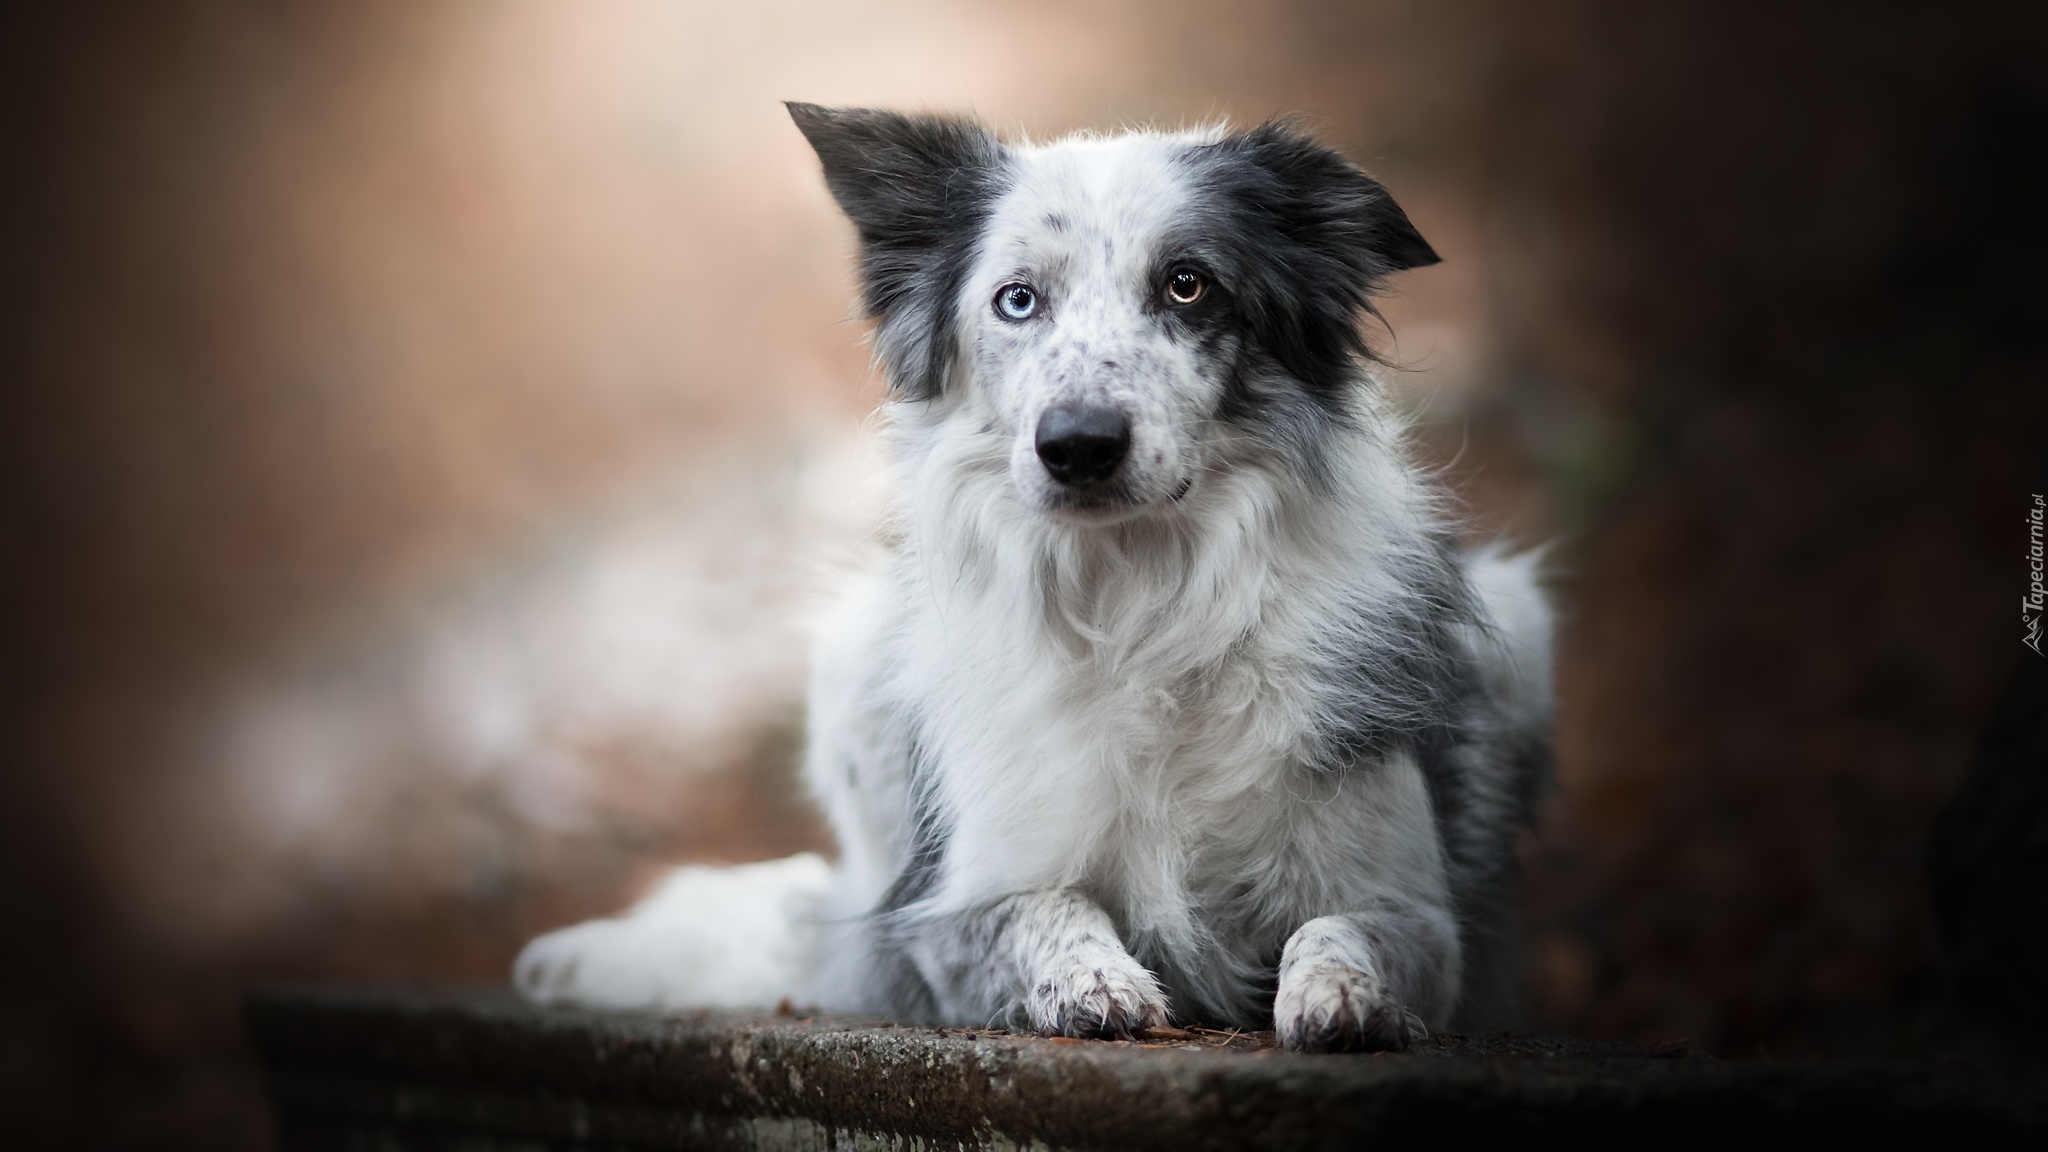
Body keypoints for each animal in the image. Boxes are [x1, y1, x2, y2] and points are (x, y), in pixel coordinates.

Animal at [516, 103, 1548, 1045]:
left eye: (1188, 286)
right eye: (1017, 300)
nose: (1079, 445)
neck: (1138, 602)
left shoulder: (1418, 913)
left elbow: (1343, 930)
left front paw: (1340, 996)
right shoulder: (940, 917)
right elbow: (1041, 909)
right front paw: (1093, 981)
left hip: (1518, 621)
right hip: (851, 659)